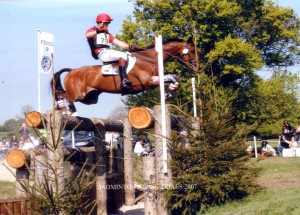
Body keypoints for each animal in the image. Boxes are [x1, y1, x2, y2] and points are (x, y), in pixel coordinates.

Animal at [50, 37, 197, 105]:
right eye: (192, 50)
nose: (198, 67)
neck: (150, 58)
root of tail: (72, 70)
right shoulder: (148, 81)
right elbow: (171, 77)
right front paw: (169, 93)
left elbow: (173, 77)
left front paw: (170, 91)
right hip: (77, 95)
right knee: (60, 93)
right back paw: (58, 107)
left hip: (89, 98)